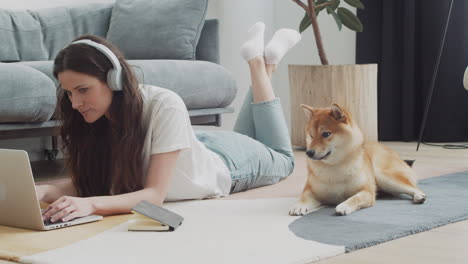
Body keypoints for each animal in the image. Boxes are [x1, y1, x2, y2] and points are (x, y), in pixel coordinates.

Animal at [288, 102, 426, 216]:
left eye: (326, 134)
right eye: (311, 135)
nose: (309, 152)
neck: (335, 166)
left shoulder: (367, 191)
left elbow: (355, 198)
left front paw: (344, 205)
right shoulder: (311, 191)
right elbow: (304, 198)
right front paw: (298, 206)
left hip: (383, 177)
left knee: (413, 188)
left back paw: (420, 196)